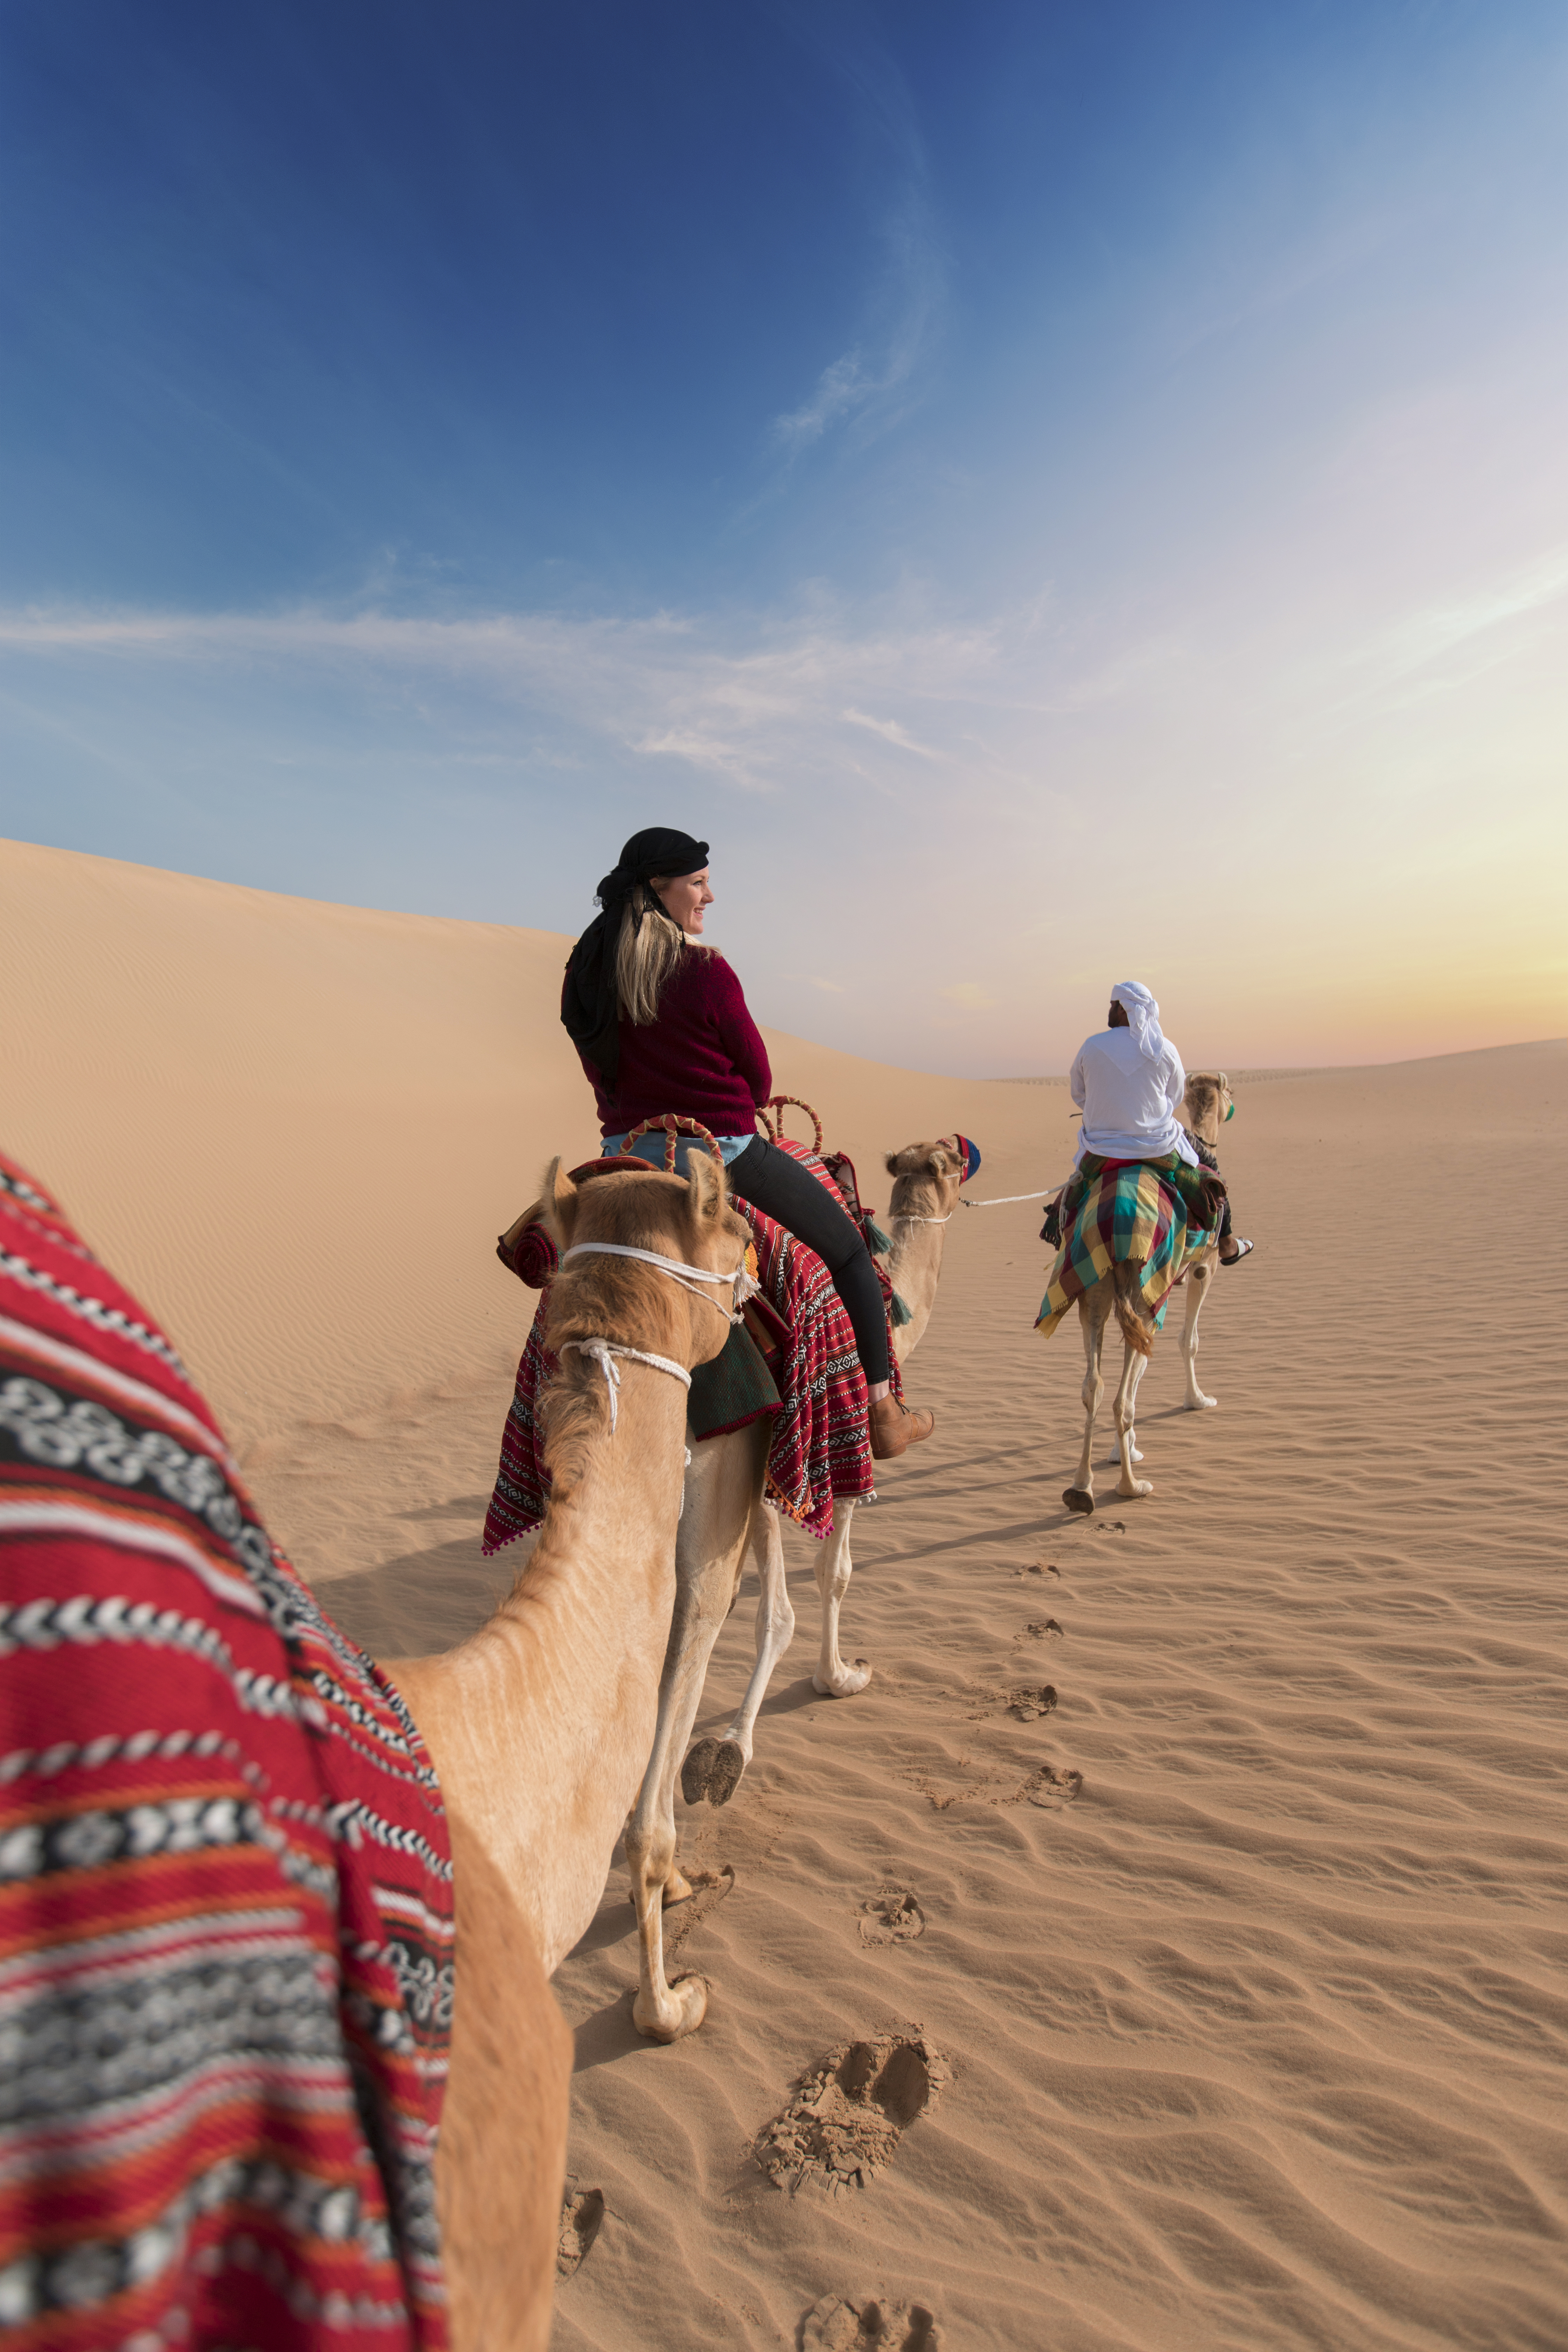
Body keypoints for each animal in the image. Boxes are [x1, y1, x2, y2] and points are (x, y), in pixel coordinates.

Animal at [623, 1138, 965, 2043]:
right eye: (951, 1160)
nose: (962, 1156)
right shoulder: (828, 1445)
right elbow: (825, 1573)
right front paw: (836, 1677)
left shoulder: (769, 1462)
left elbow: (773, 1597)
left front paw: (729, 1749)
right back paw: (663, 1998)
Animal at [1062, 1074, 1234, 1515]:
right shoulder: (1203, 1268)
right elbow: (1189, 1341)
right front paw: (1197, 1400)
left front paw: (1118, 1451)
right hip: (1144, 1293)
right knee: (1121, 1395)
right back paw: (1130, 1485)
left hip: (1094, 1291)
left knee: (1094, 1386)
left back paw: (1081, 1487)